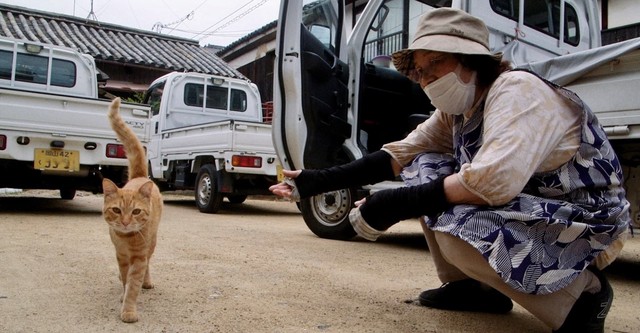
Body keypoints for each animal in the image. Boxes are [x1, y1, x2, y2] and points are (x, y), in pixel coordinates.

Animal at [102, 98, 162, 322]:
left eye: (136, 212)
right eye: (117, 210)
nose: (126, 222)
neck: (126, 239)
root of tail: (140, 176)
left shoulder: (138, 258)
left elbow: (133, 284)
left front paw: (128, 309)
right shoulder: (120, 255)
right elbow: (125, 279)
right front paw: (123, 294)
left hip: (152, 243)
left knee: (148, 263)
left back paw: (147, 281)